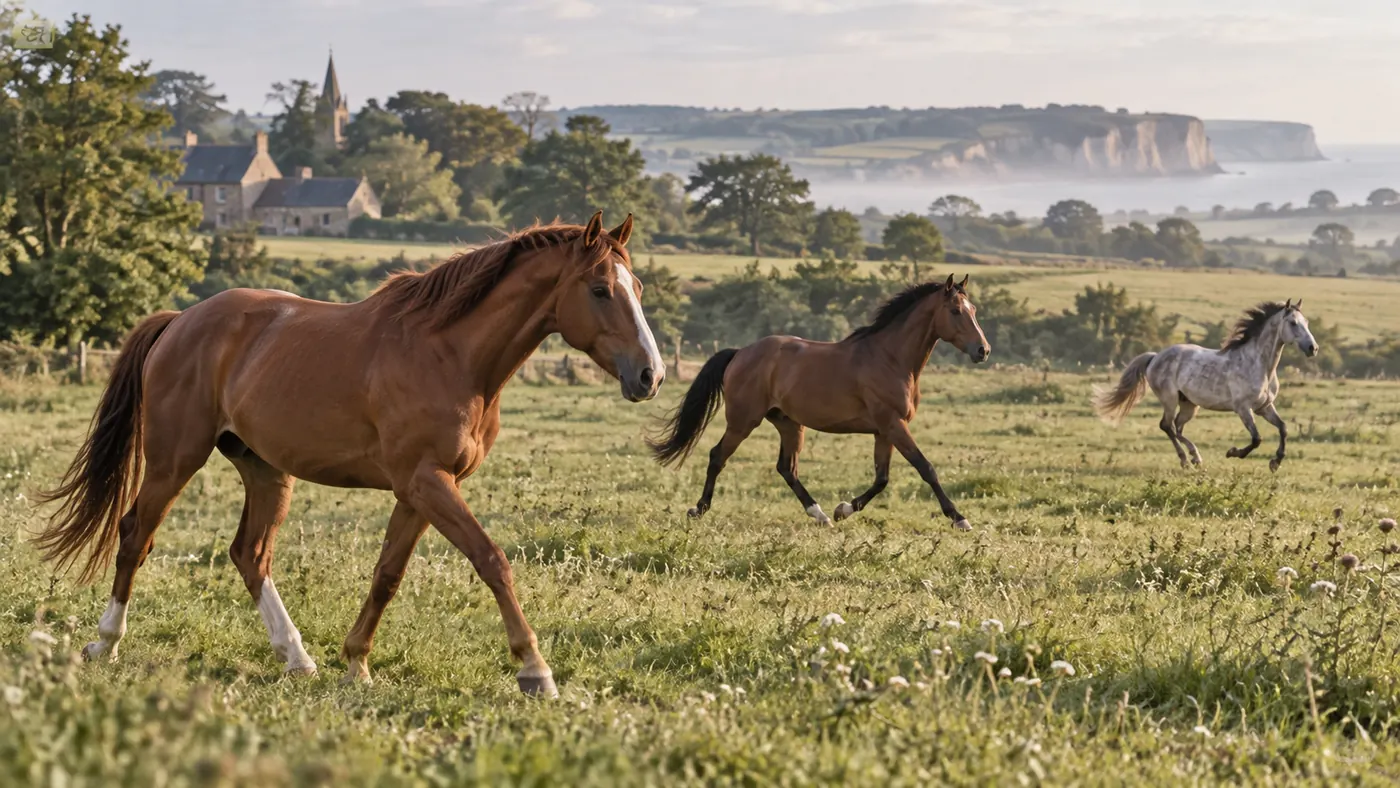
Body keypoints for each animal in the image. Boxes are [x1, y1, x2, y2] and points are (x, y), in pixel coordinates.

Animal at [34, 211, 664, 697]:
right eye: (601, 290)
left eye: (637, 288)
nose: (650, 375)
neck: (451, 354)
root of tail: (179, 322)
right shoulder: (427, 483)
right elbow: (492, 561)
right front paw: (535, 670)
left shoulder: (422, 490)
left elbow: (387, 575)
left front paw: (356, 662)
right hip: (174, 459)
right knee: (135, 534)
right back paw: (106, 643)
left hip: (266, 470)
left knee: (249, 554)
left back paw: (297, 657)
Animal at [648, 274, 991, 530]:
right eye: (956, 311)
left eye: (973, 309)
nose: (983, 351)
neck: (890, 358)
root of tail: (740, 353)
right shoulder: (894, 425)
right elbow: (925, 467)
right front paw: (960, 518)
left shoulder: (884, 431)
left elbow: (882, 478)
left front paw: (843, 509)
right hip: (743, 421)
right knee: (718, 456)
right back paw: (699, 509)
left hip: (789, 423)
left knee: (786, 468)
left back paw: (820, 514)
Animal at [1092, 299, 1318, 471]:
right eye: (1293, 323)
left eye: (1306, 322)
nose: (1313, 348)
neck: (1258, 364)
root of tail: (1155, 356)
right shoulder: (1243, 408)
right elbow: (1256, 439)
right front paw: (1233, 452)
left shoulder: (1264, 407)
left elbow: (1283, 428)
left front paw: (1275, 462)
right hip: (1169, 399)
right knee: (1167, 426)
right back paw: (1187, 460)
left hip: (1189, 404)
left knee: (1178, 427)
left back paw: (1195, 457)